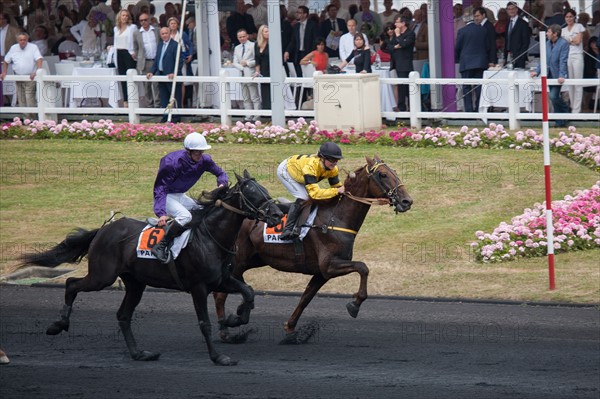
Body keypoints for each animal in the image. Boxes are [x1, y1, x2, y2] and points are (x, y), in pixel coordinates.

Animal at [21, 172, 284, 366]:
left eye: (265, 190)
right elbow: (204, 323)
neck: (211, 237)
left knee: (123, 315)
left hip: (135, 283)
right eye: (253, 193)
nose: (277, 214)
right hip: (102, 276)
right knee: (72, 284)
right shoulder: (198, 287)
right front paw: (218, 357)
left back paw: (139, 353)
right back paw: (58, 325)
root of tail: (104, 230)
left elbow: (249, 292)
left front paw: (236, 318)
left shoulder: (222, 279)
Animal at [216, 156, 412, 344]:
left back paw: (240, 312)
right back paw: (226, 331)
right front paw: (354, 305)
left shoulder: (321, 273)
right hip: (239, 261)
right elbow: (363, 267)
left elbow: (306, 298)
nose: (407, 201)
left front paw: (290, 330)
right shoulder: (330, 265)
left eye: (394, 172)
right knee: (220, 294)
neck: (335, 218)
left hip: (254, 259)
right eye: (383, 175)